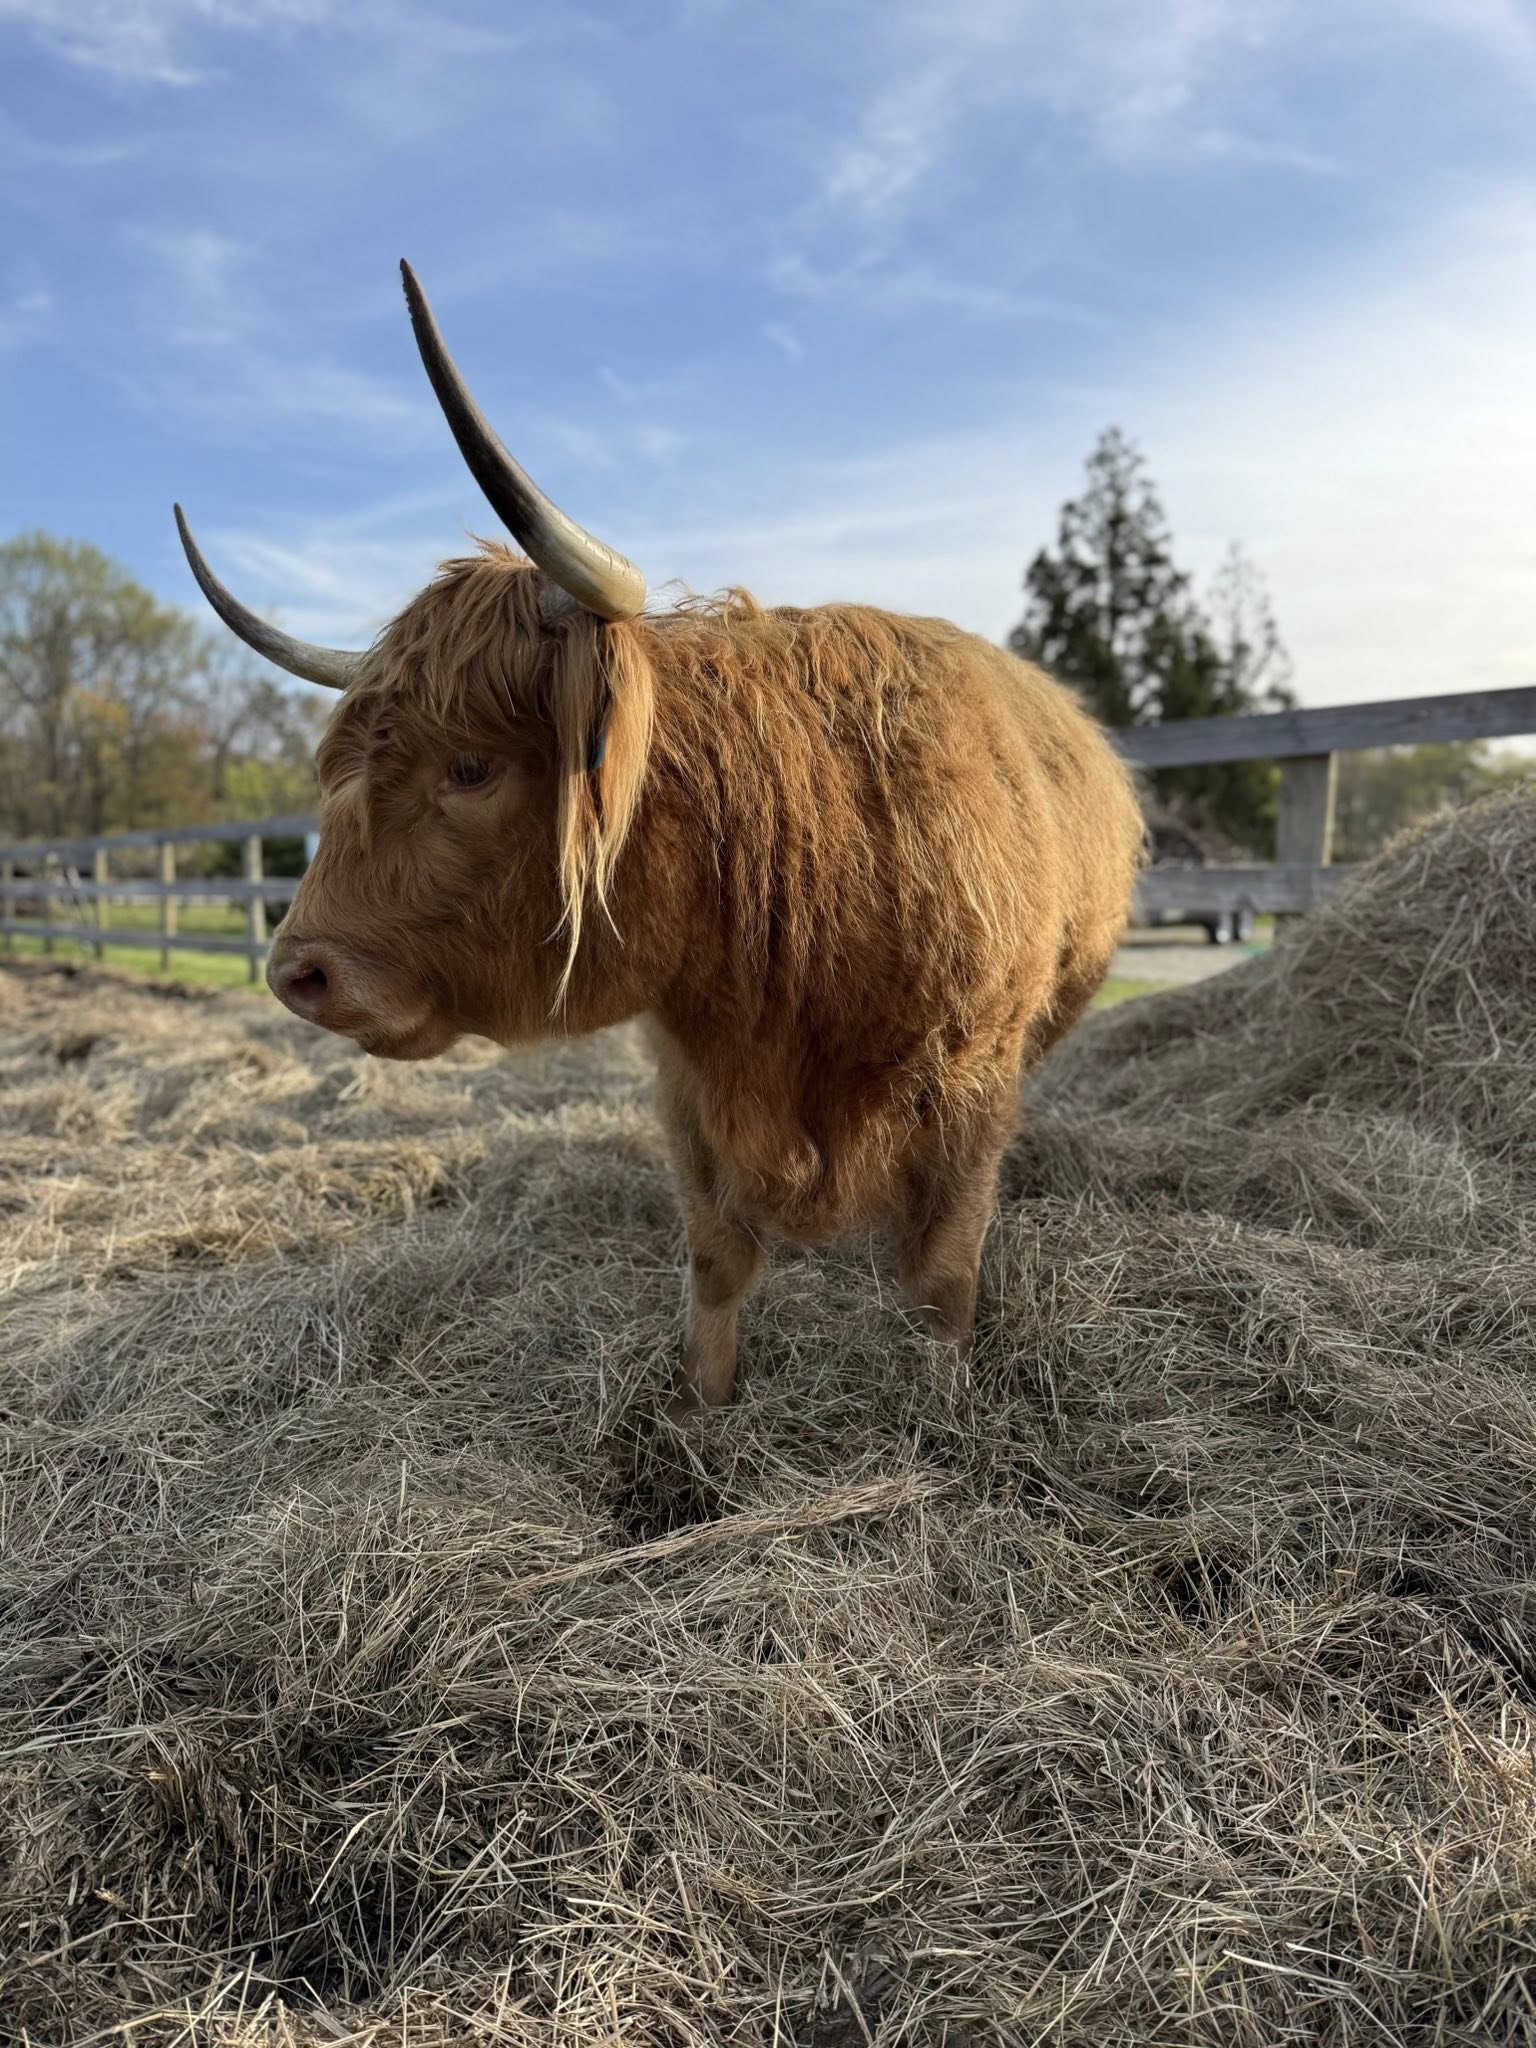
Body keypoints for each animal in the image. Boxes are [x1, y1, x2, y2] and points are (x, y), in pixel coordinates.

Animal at [177, 262, 1144, 1416]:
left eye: (472, 767)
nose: (297, 973)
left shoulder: (972, 1076)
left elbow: (942, 1275)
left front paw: (942, 1409)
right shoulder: (689, 1076)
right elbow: (717, 1258)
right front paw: (701, 1406)